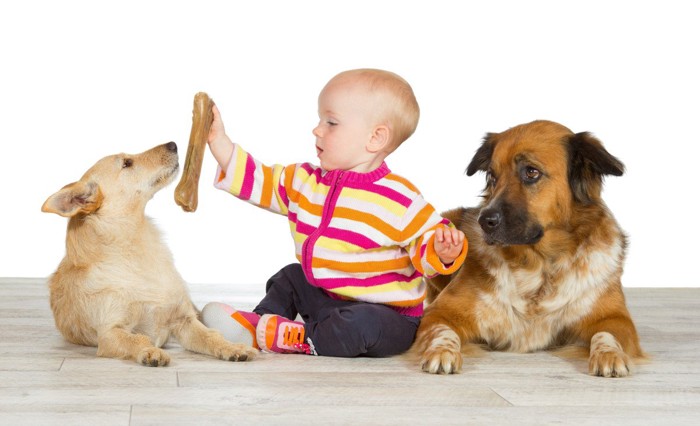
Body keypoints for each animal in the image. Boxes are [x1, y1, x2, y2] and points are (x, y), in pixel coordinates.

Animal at [41, 142, 256, 366]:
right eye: (127, 163)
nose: (173, 144)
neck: (134, 247)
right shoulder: (110, 333)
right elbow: (137, 339)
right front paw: (150, 351)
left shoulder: (184, 320)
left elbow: (211, 336)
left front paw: (232, 347)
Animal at [412, 119, 644, 376]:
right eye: (492, 176)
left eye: (531, 172)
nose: (484, 221)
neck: (540, 266)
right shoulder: (440, 313)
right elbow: (442, 331)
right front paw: (442, 351)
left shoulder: (616, 318)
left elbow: (606, 334)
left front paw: (609, 355)